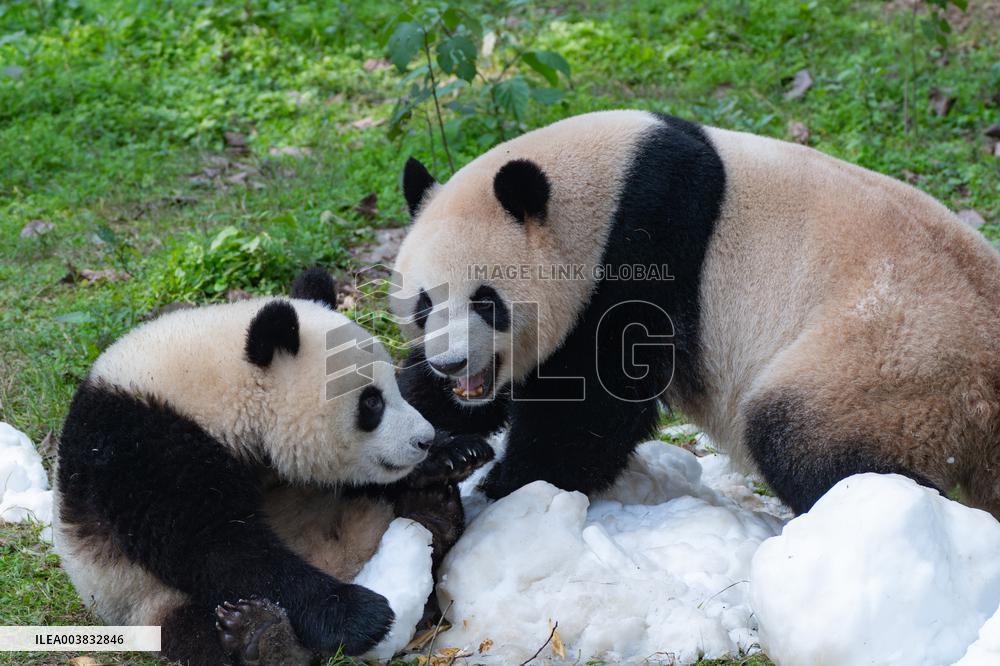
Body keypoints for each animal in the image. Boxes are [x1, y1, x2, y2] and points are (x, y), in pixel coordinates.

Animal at [54, 269, 493, 666]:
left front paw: (454, 453)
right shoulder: (138, 447)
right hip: (141, 599)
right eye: (371, 403)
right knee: (191, 629)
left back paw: (434, 513)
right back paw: (262, 636)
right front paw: (356, 615)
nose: (423, 439)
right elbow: (219, 548)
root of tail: (347, 561)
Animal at [390, 110, 1000, 517]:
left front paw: (506, 483)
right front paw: (437, 443)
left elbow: (596, 397)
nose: (451, 364)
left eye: (485, 301)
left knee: (803, 441)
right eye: (425, 304)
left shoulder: (646, 246)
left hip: (891, 358)